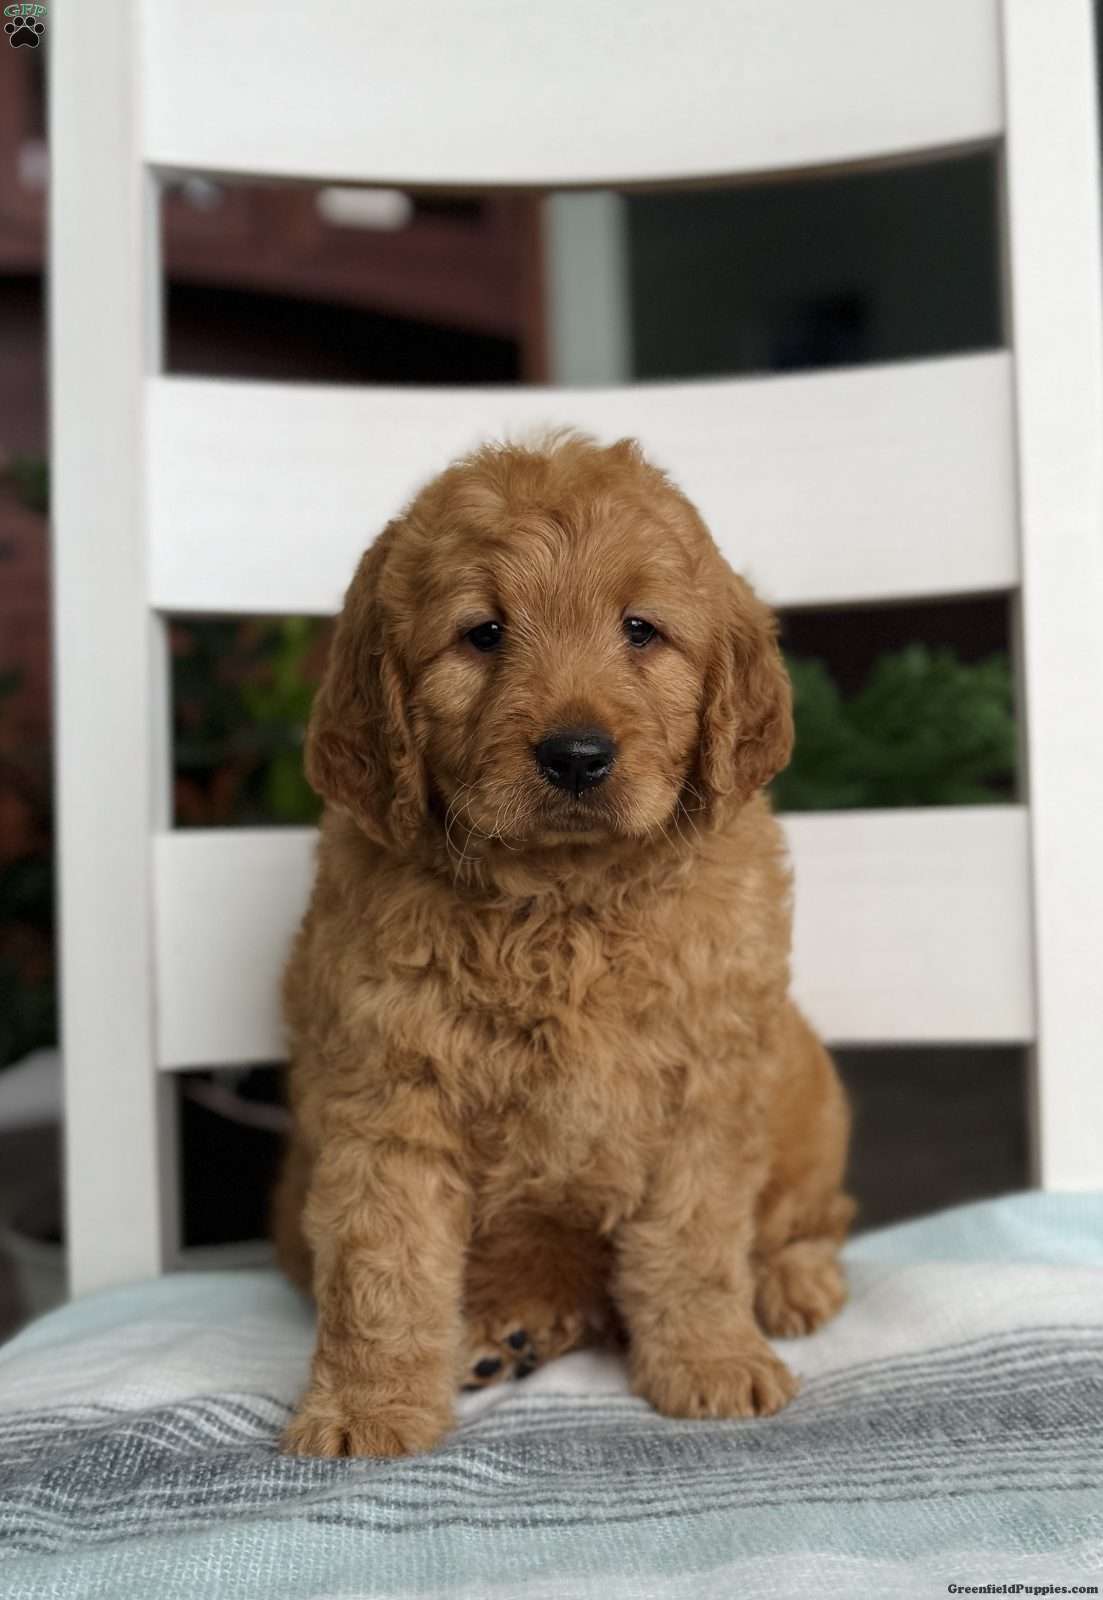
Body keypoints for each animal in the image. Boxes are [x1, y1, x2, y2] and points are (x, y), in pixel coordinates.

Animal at [274, 432, 854, 1458]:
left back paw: (790, 1281)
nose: (576, 755)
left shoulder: (708, 1087)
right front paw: (366, 1409)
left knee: (812, 1216)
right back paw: (506, 1326)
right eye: (483, 633)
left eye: (640, 629)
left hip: (810, 1096)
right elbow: (381, 1263)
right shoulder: (384, 1093)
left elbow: (695, 1240)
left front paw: (709, 1361)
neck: (562, 902)